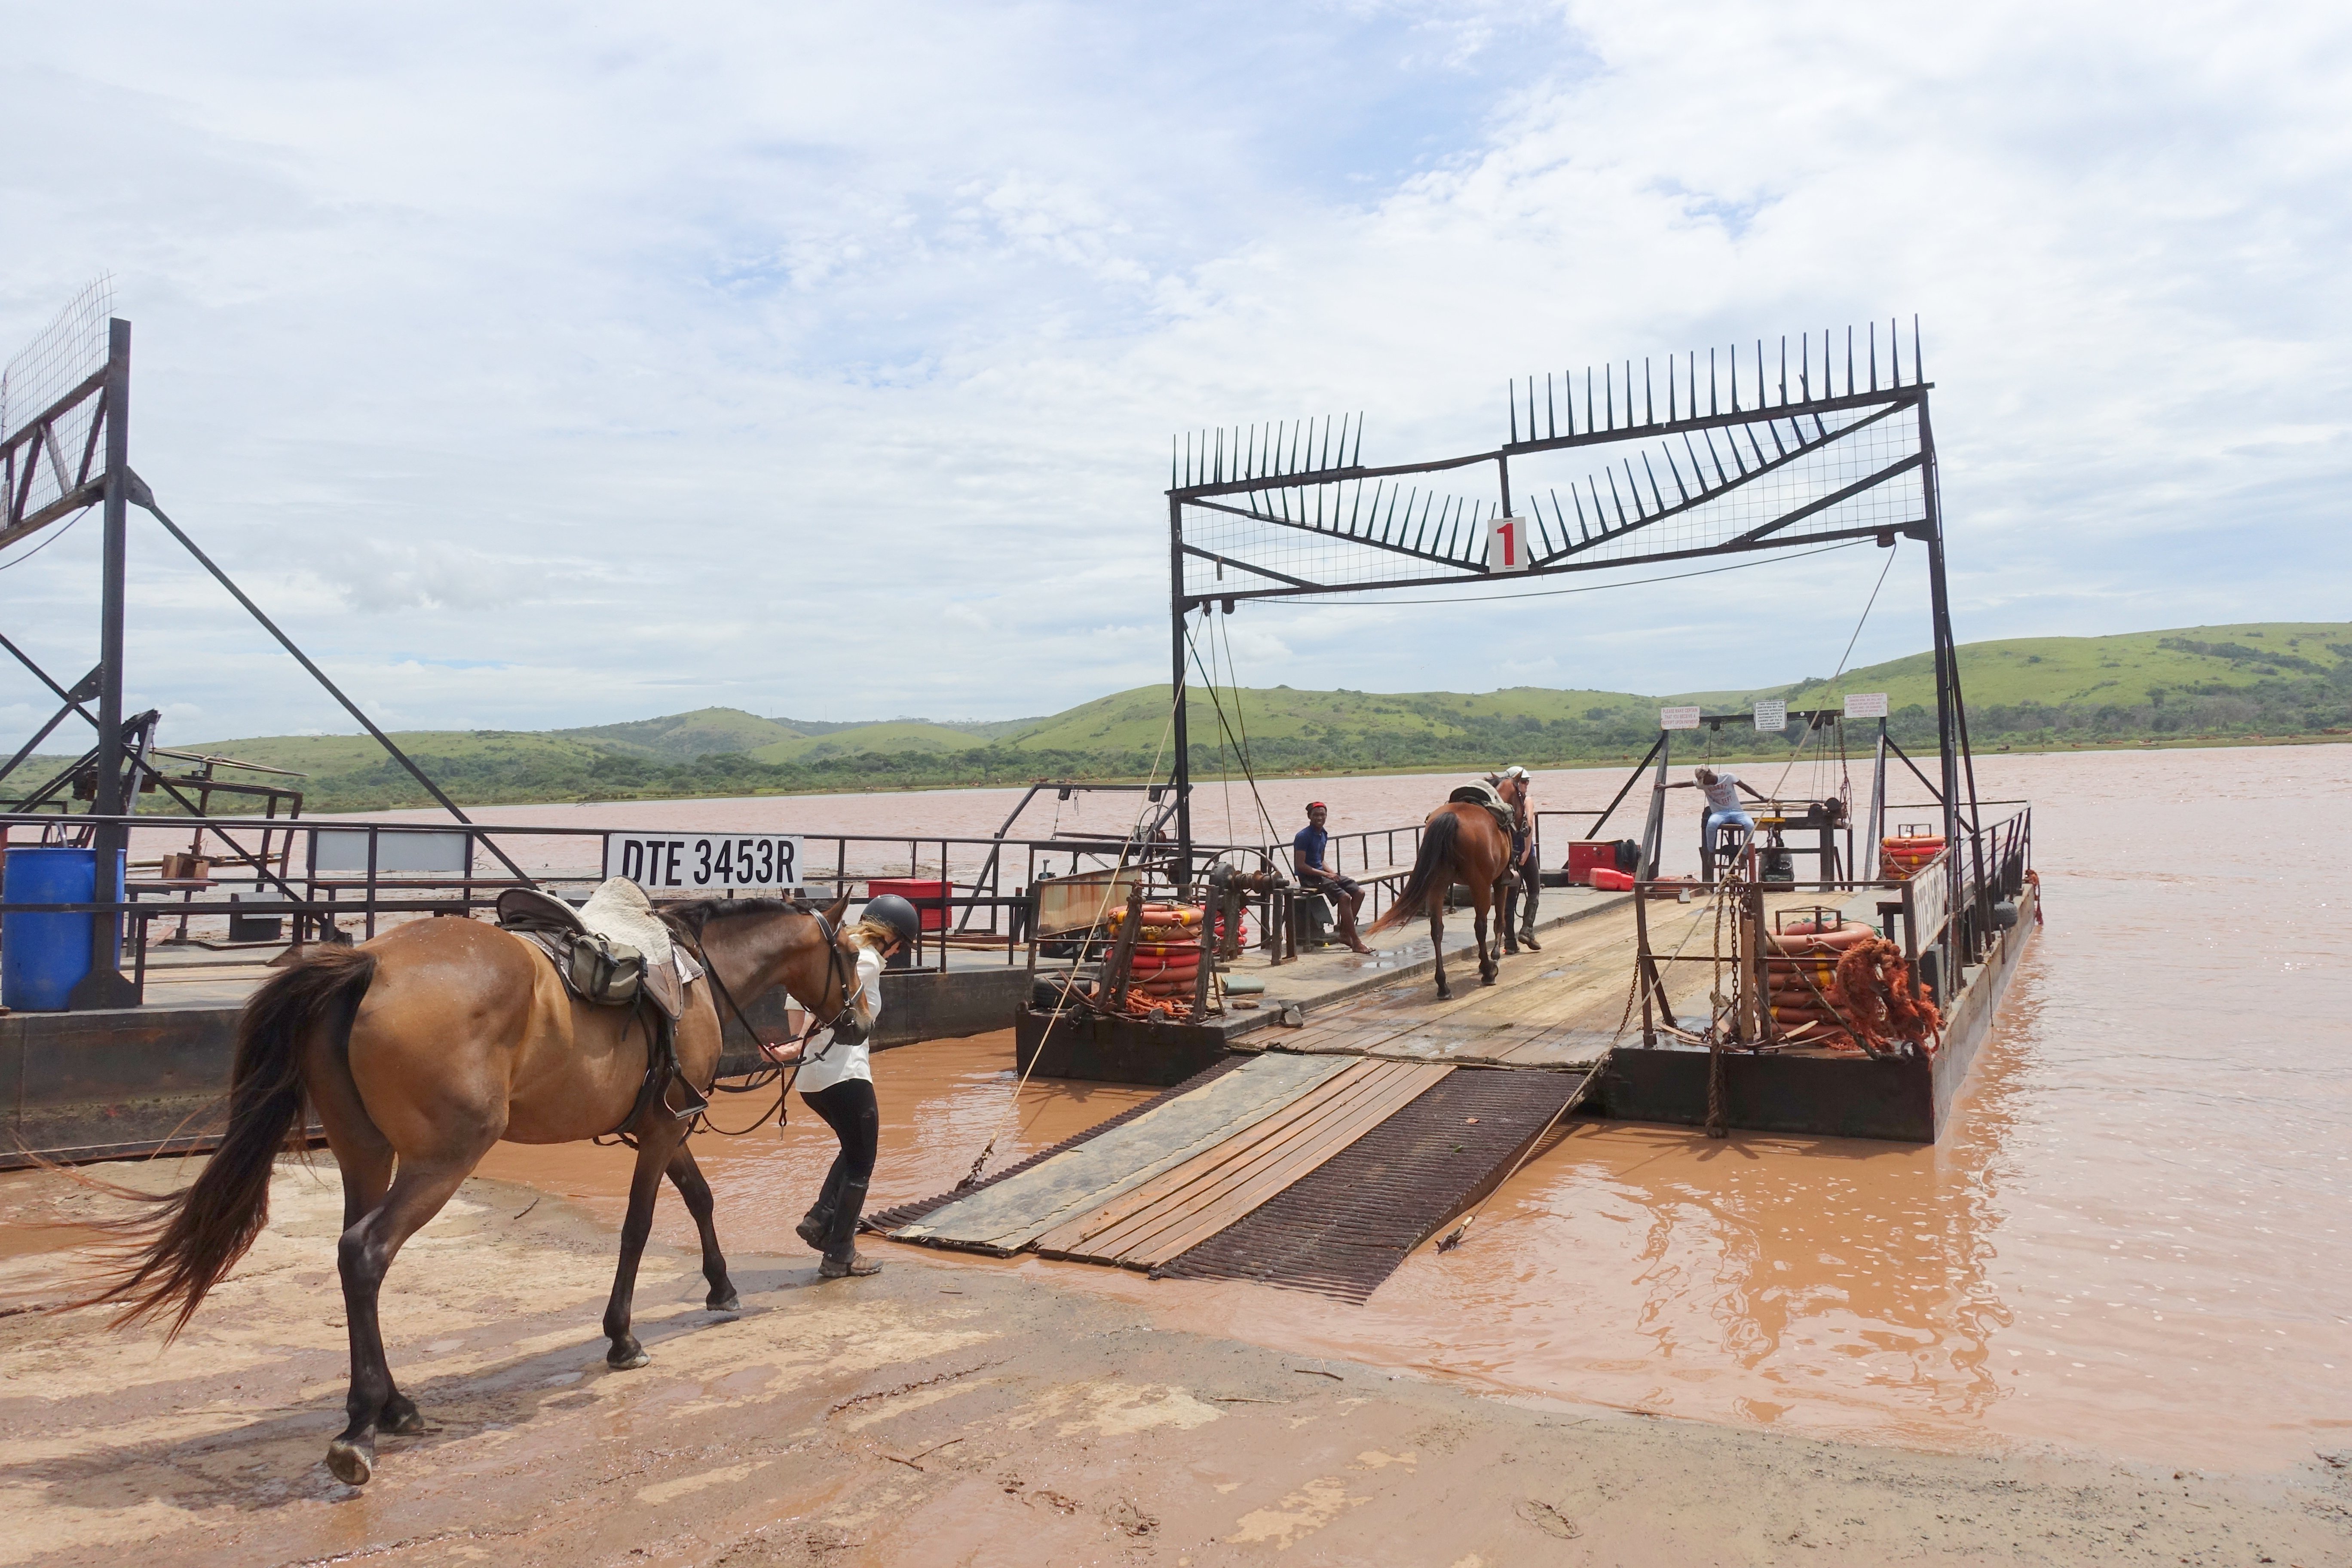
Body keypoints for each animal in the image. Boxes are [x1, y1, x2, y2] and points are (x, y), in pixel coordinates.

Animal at [89, 893, 875, 1485]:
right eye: (848, 954)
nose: (862, 1021)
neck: (698, 977)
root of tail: (368, 963)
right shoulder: (663, 1127)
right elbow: (641, 1227)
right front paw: (623, 1336)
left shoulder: (665, 1124)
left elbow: (701, 1198)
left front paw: (720, 1286)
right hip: (444, 1157)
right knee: (366, 1251)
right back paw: (362, 1425)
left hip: (364, 1151)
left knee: (351, 1256)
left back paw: (391, 1405)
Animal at [1373, 804, 1514, 1001]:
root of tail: (1451, 817)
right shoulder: (1500, 881)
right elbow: (1499, 922)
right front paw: (1492, 958)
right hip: (1480, 885)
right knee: (1480, 926)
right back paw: (1488, 972)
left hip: (1437, 885)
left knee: (1437, 930)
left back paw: (1443, 986)